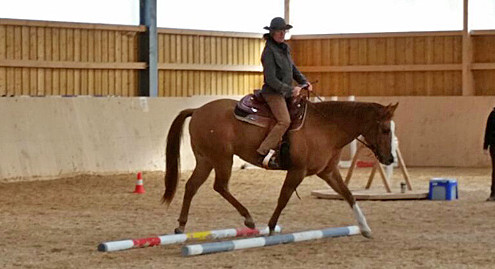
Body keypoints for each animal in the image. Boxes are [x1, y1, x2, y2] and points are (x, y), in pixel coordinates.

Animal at [163, 97, 400, 237]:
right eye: (386, 129)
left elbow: (349, 195)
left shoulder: (328, 172)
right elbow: (283, 198)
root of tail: (198, 110)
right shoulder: (297, 171)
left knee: (192, 186)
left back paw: (181, 226)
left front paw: (365, 227)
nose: (389, 159)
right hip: (222, 158)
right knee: (220, 186)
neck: (326, 127)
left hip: (206, 160)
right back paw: (248, 219)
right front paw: (270, 227)